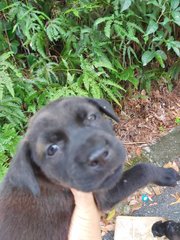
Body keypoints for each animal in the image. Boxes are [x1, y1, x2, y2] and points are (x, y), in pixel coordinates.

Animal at [0, 96, 179, 239]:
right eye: (52, 149)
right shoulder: (105, 195)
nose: (99, 155)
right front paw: (167, 175)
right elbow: (141, 169)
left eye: (92, 117)